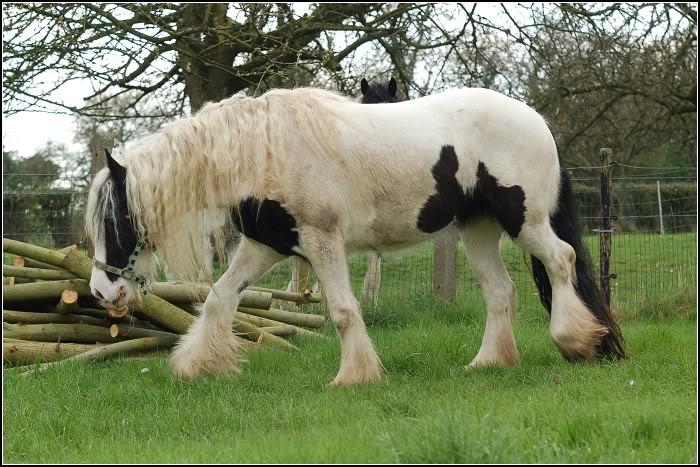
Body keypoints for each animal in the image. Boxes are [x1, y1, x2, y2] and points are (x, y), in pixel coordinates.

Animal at [85, 86, 628, 386]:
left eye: (113, 221)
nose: (101, 291)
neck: (261, 152)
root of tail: (537, 120)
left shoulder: (322, 241)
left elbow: (344, 310)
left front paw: (354, 376)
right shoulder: (266, 246)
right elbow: (219, 299)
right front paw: (198, 365)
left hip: (526, 222)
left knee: (560, 262)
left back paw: (575, 341)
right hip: (477, 232)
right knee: (501, 292)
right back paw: (489, 363)